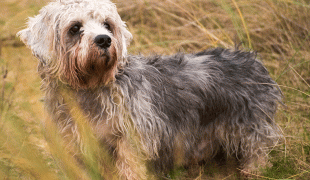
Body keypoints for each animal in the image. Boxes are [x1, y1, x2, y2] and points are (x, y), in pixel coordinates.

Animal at [17, 0, 284, 178]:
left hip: (250, 131)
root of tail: (251, 59)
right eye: (75, 28)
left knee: (257, 156)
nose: (104, 40)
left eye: (107, 25)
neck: (89, 89)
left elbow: (130, 169)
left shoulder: (130, 141)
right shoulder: (75, 145)